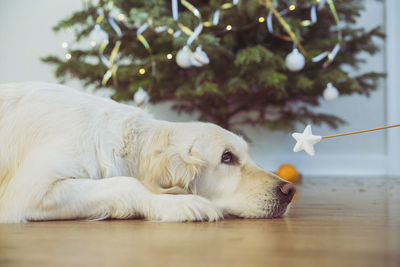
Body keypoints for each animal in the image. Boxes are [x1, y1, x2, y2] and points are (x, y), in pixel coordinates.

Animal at [0, 82, 294, 224]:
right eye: (227, 157)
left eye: (247, 155)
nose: (289, 190)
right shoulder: (30, 191)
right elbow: (128, 183)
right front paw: (180, 203)